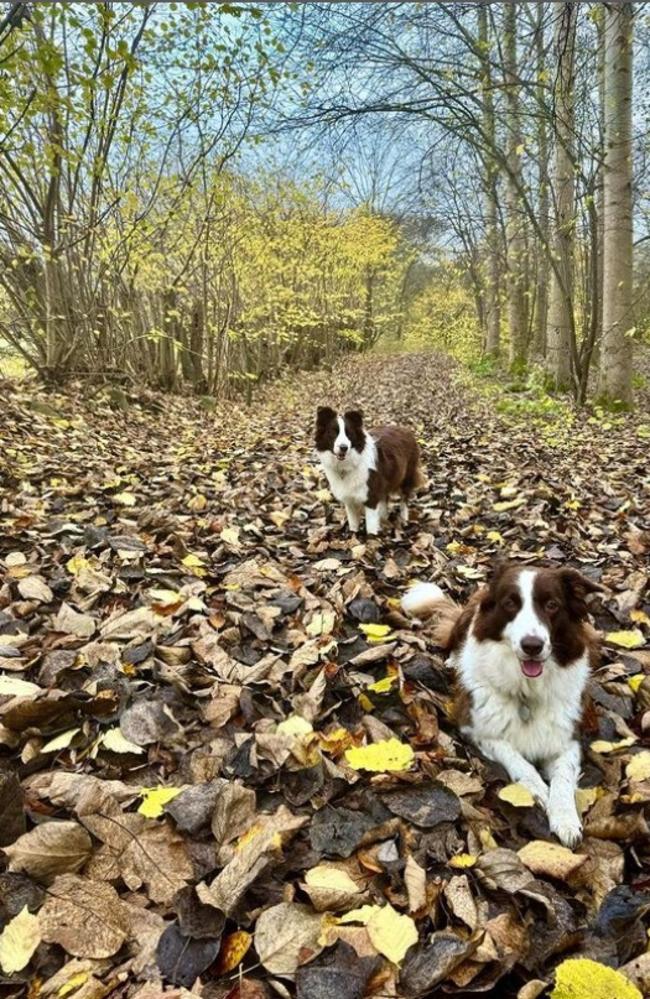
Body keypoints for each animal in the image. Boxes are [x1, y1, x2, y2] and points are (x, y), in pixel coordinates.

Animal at [312, 406, 422, 536]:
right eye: (333, 432)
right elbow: (353, 523)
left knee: (404, 499)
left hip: (407, 477)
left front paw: (372, 538)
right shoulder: (349, 500)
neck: (348, 464)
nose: (344, 448)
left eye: (349, 434)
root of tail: (405, 429)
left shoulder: (371, 497)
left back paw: (404, 519)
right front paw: (353, 534)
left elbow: (370, 526)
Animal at [400, 564, 604, 844]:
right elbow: (518, 760)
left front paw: (565, 819)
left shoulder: (568, 738)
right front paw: (538, 790)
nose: (532, 646)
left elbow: (563, 778)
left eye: (552, 605)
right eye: (510, 604)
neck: (527, 692)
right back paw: (454, 660)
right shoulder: (476, 729)